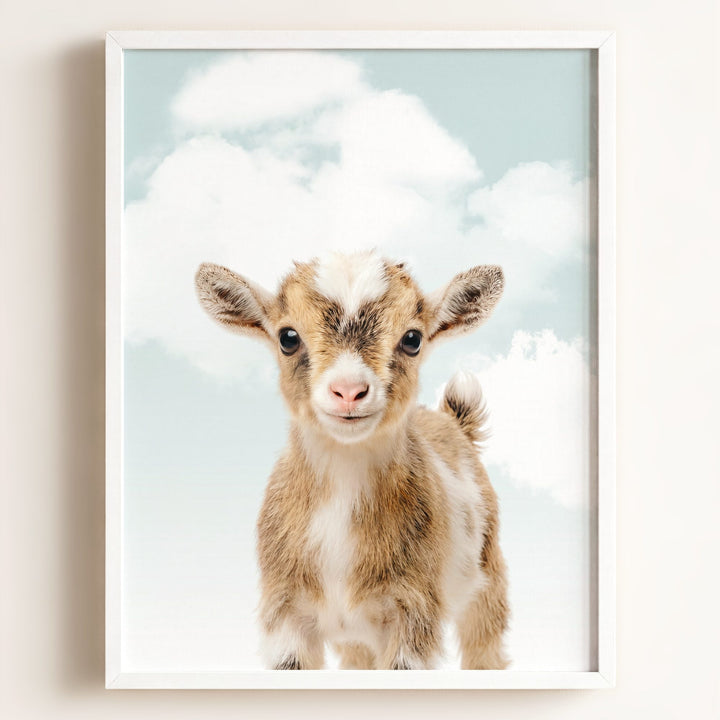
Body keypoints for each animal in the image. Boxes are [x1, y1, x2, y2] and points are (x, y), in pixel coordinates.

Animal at [195, 251, 509, 670]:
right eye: (287, 337)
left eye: (413, 339)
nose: (348, 391)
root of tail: (453, 421)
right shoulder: (285, 613)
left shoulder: (413, 611)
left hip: (488, 578)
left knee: (485, 645)